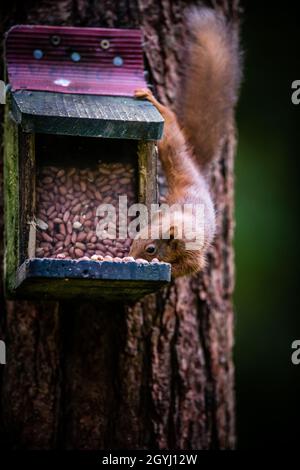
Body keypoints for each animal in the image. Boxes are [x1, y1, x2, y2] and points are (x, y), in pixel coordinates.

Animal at [129, 7, 241, 278]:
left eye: (150, 249)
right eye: (134, 238)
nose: (129, 257)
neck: (179, 222)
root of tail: (195, 171)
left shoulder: (193, 251)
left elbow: (191, 266)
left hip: (174, 154)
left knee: (171, 128)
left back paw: (154, 101)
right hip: (172, 153)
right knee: (170, 132)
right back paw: (152, 100)